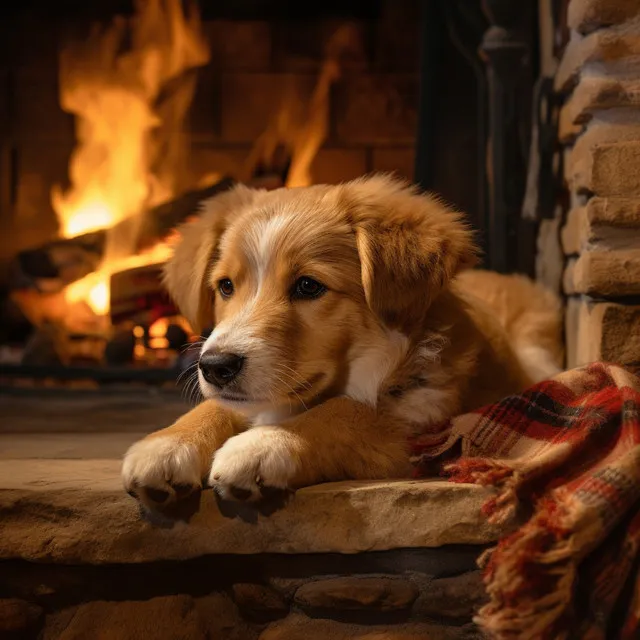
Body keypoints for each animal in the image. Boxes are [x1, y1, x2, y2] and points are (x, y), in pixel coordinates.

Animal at [122, 175, 564, 510]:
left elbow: (345, 413)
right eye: (226, 286)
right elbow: (216, 406)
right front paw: (167, 444)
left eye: (308, 286)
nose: (215, 366)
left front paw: (262, 444)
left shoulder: (420, 422)